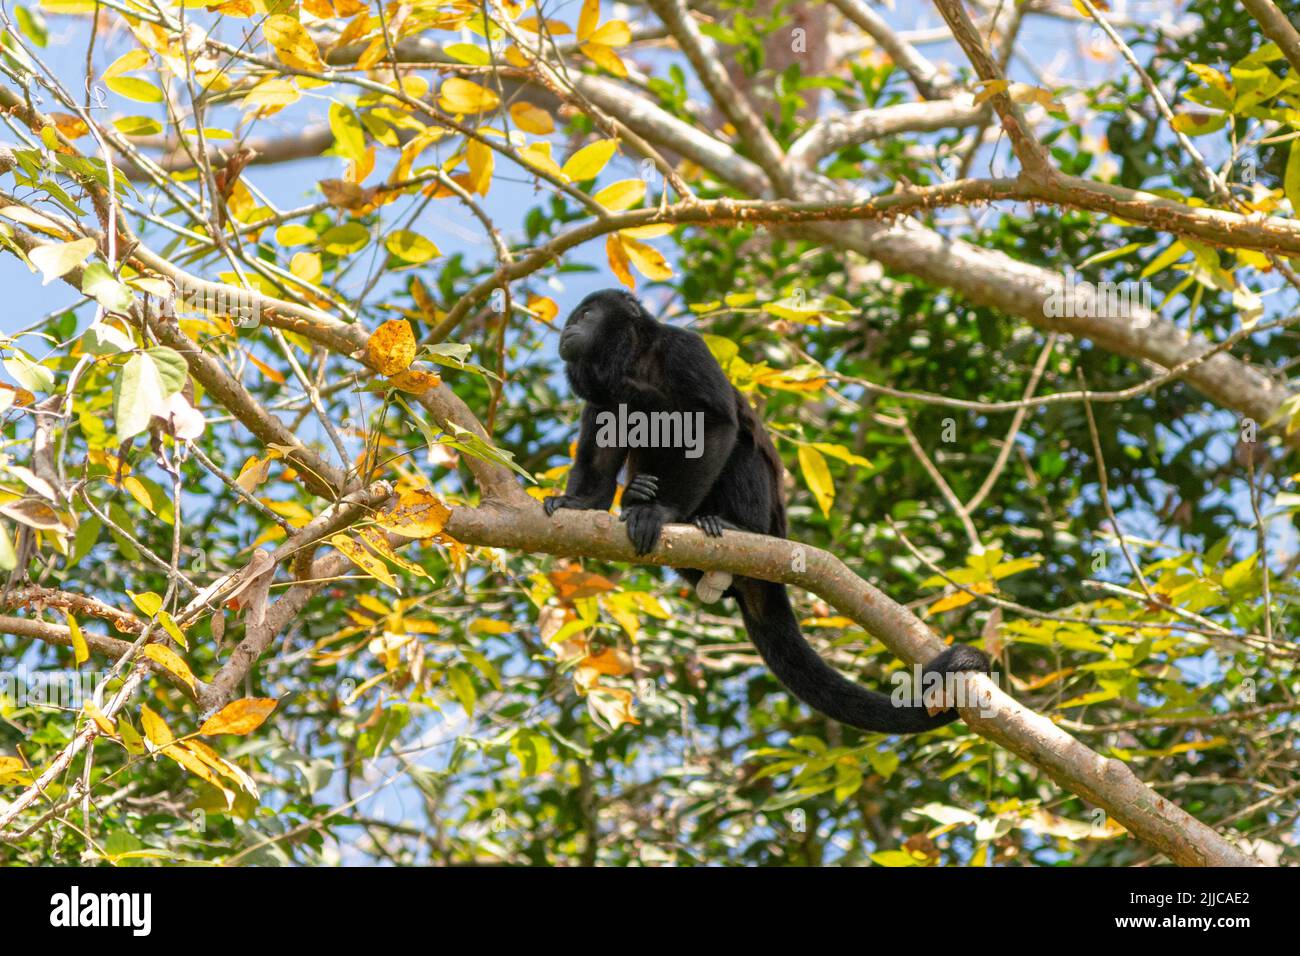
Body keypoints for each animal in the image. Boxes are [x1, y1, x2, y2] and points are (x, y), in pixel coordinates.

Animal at [543, 287, 987, 738]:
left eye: (587, 314)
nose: (568, 329)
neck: (634, 362)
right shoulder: (601, 395)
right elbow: (601, 452)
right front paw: (580, 503)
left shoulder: (686, 349)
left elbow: (714, 423)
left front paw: (662, 511)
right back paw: (639, 494)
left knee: (741, 443)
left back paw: (724, 522)